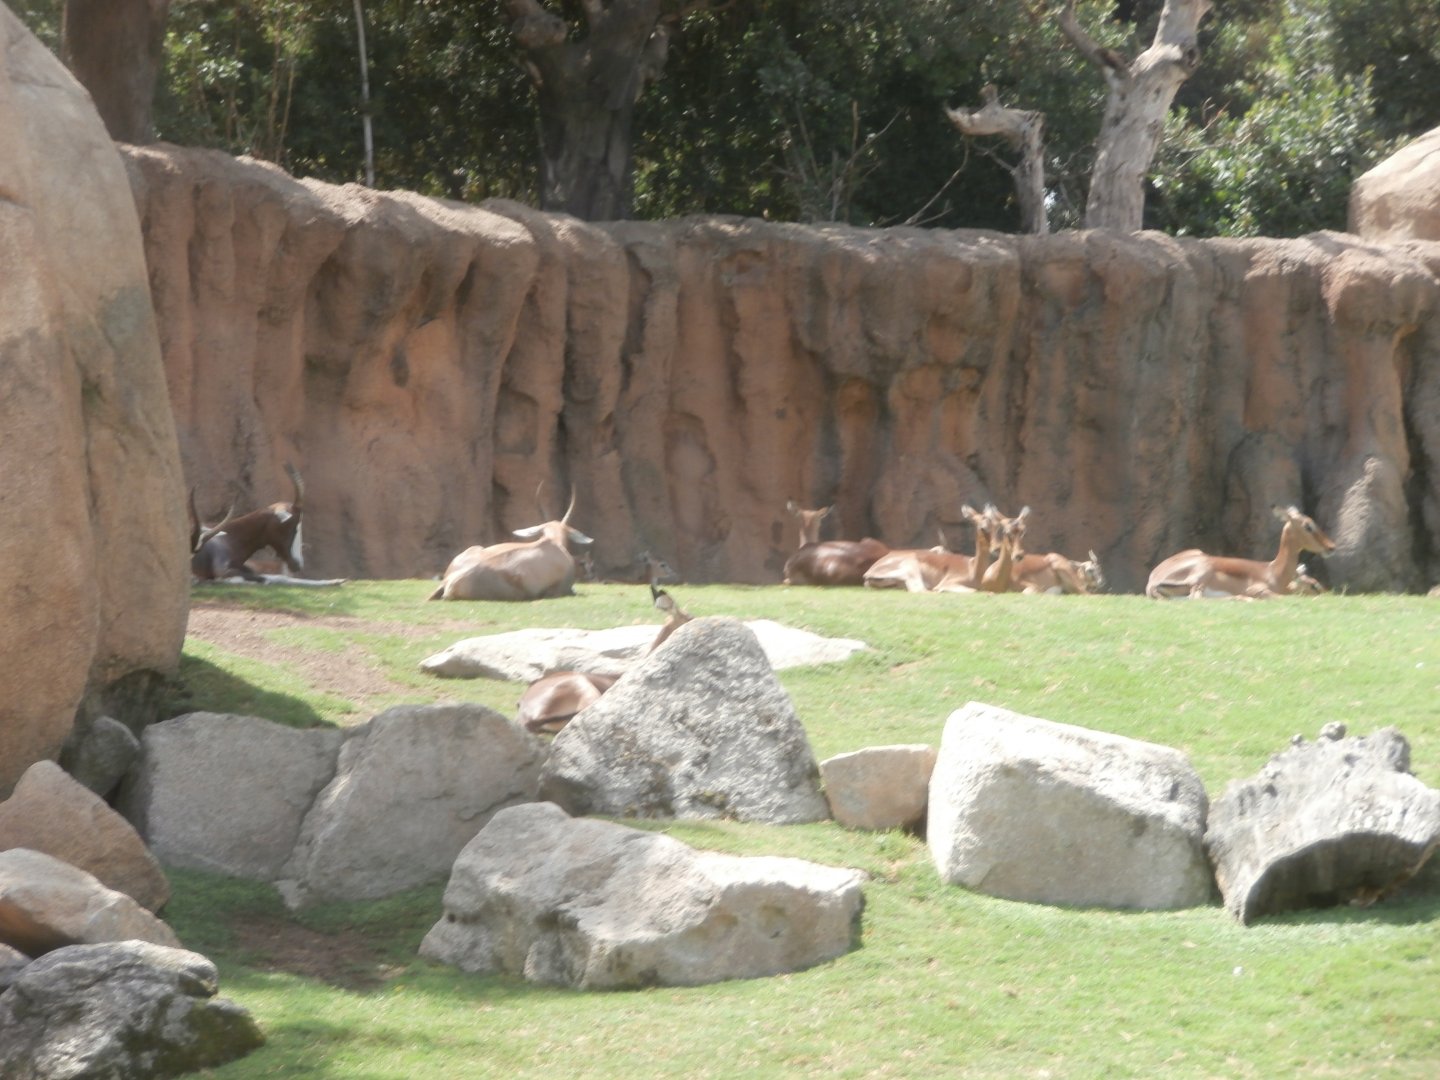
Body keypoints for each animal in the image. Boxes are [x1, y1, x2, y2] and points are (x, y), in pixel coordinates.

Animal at [1146, 505, 1337, 600]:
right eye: (1308, 526)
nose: (1331, 547)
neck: (1274, 573)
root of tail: (1153, 580)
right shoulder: (1258, 590)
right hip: (1202, 575)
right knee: (1197, 598)